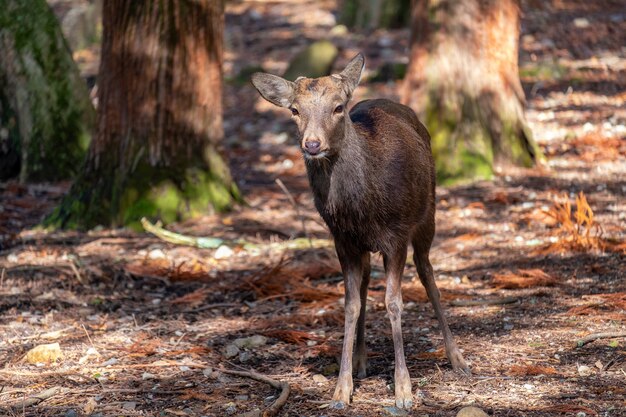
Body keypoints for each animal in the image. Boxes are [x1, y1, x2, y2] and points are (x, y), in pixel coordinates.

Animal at [249, 53, 468, 408]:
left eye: (338, 107)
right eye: (294, 110)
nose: (312, 144)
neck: (362, 208)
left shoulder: (396, 235)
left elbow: (394, 302)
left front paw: (403, 390)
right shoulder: (343, 240)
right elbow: (350, 305)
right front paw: (341, 390)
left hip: (428, 215)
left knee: (427, 273)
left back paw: (457, 359)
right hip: (366, 246)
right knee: (365, 285)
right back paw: (362, 361)